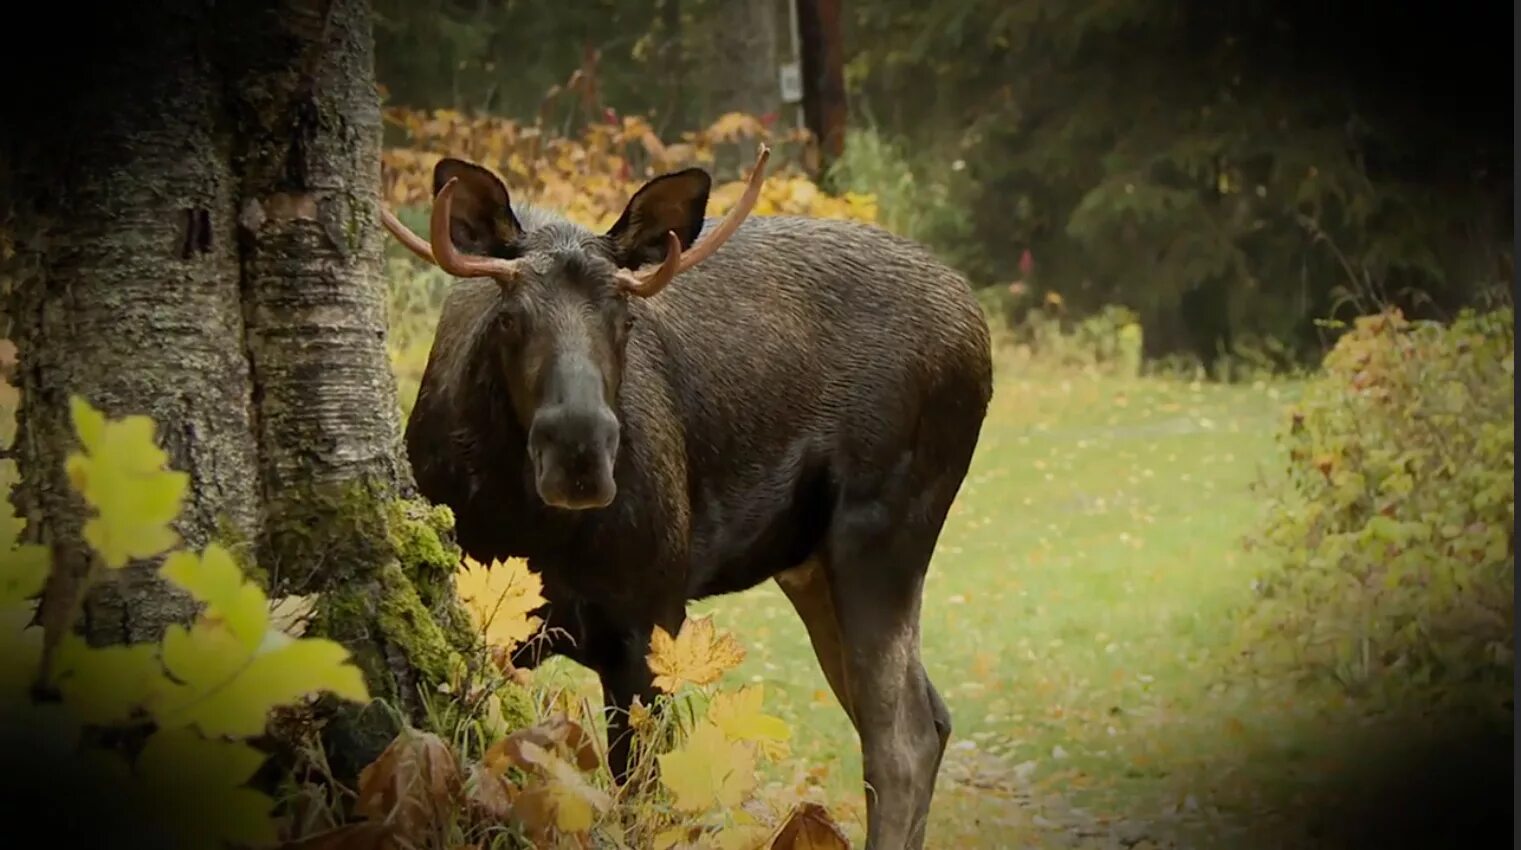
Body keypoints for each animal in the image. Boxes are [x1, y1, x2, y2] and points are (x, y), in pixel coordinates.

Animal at [380, 142, 991, 845]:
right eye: (508, 317)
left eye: (625, 318)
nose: (580, 447)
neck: (531, 529)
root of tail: (978, 325)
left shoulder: (648, 622)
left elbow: (643, 806)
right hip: (811, 566)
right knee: (929, 717)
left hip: (881, 534)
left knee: (903, 738)